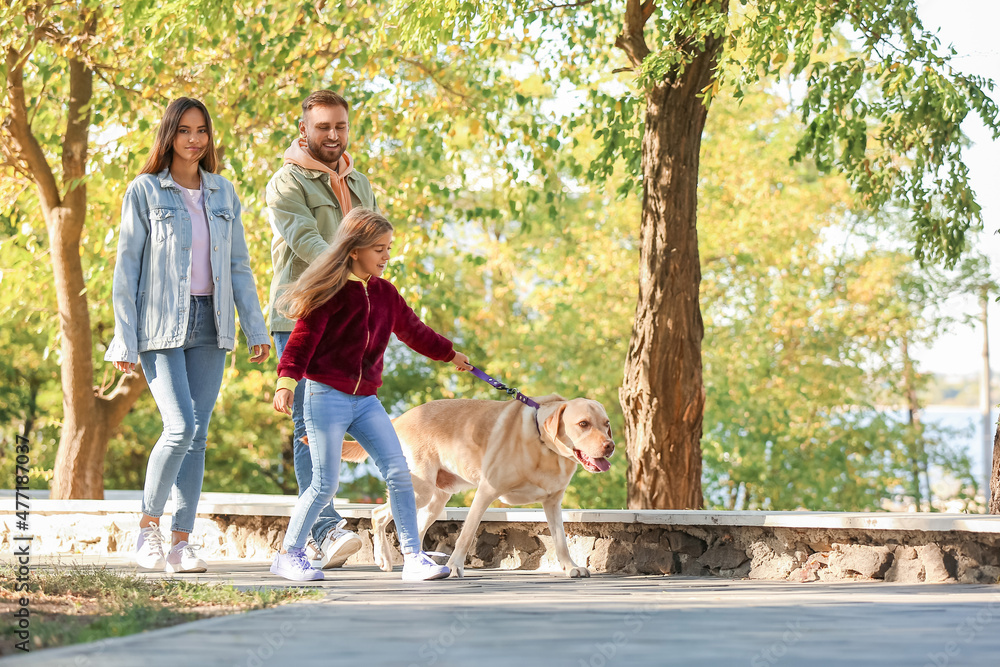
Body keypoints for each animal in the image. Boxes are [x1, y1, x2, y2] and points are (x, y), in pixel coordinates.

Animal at [340, 394, 612, 576]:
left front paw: (570, 567)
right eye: (583, 424)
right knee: (378, 514)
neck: (544, 447)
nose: (611, 445)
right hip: (420, 490)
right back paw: (384, 559)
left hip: (435, 500)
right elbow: (466, 535)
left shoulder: (553, 503)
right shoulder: (486, 491)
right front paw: (454, 566)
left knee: (414, 526)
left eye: (606, 423)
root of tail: (399, 419)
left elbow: (561, 540)